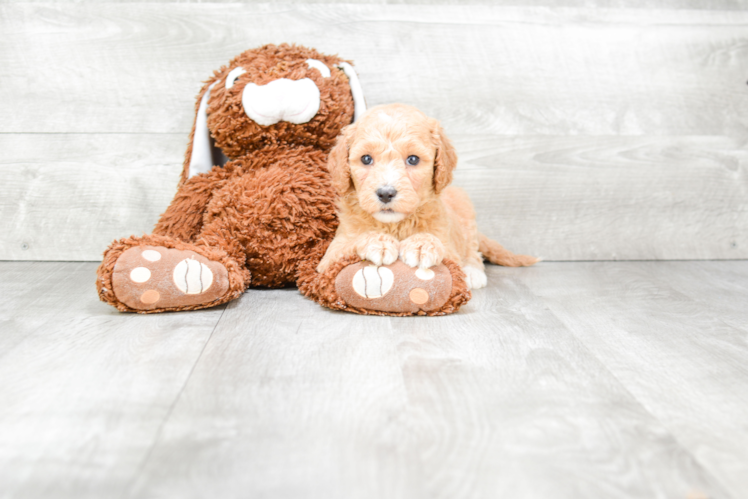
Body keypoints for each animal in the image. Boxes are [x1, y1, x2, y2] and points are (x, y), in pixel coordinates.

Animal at [318, 102, 536, 304]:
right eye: (366, 159)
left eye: (413, 159)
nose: (386, 194)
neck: (395, 225)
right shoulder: (330, 256)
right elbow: (348, 245)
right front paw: (377, 241)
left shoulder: (449, 248)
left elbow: (444, 250)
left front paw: (422, 244)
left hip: (466, 210)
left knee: (472, 249)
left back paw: (474, 272)